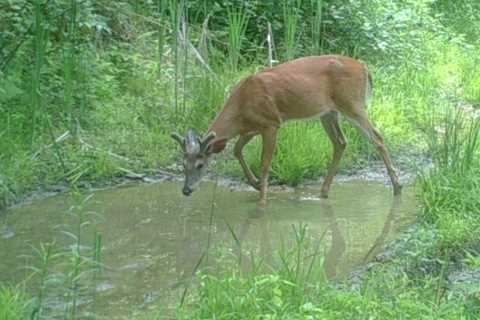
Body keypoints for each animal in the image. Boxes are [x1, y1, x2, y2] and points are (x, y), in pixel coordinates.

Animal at [171, 54, 404, 205]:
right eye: (183, 164)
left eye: (200, 165)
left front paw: (262, 200)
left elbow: (264, 164)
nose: (186, 190)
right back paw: (323, 192)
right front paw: (255, 184)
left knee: (377, 137)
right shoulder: (253, 127)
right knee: (340, 142)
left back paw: (397, 186)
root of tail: (365, 68)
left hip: (352, 103)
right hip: (328, 112)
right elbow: (237, 150)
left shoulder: (272, 123)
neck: (241, 107)